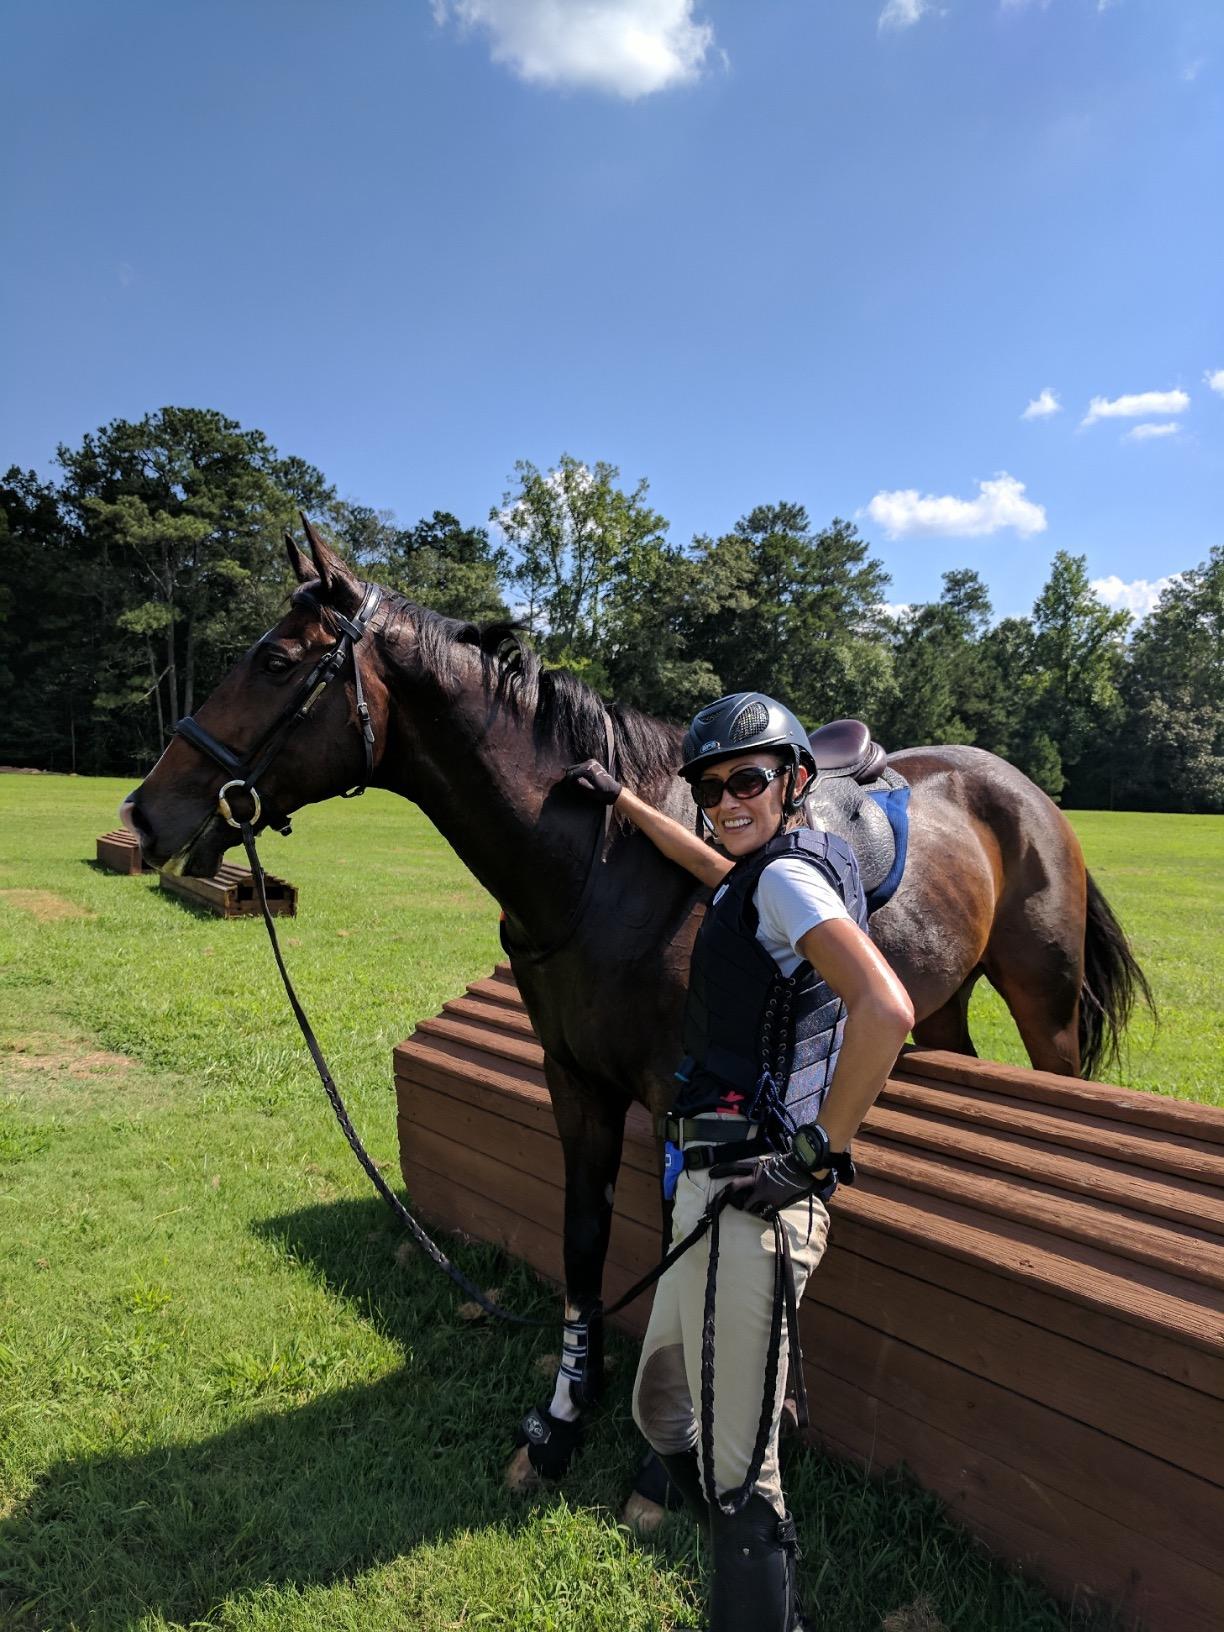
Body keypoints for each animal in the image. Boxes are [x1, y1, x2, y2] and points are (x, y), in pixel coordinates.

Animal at [123, 522, 1151, 1488]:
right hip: (941, 1005)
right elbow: (585, 1246)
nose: (144, 811)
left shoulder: (674, 1104)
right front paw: (563, 1420)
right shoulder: (575, 1082)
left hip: (1046, 1005)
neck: (605, 867)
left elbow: (676, 1259)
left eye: (276, 661)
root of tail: (1019, 787)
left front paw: (664, 1460)